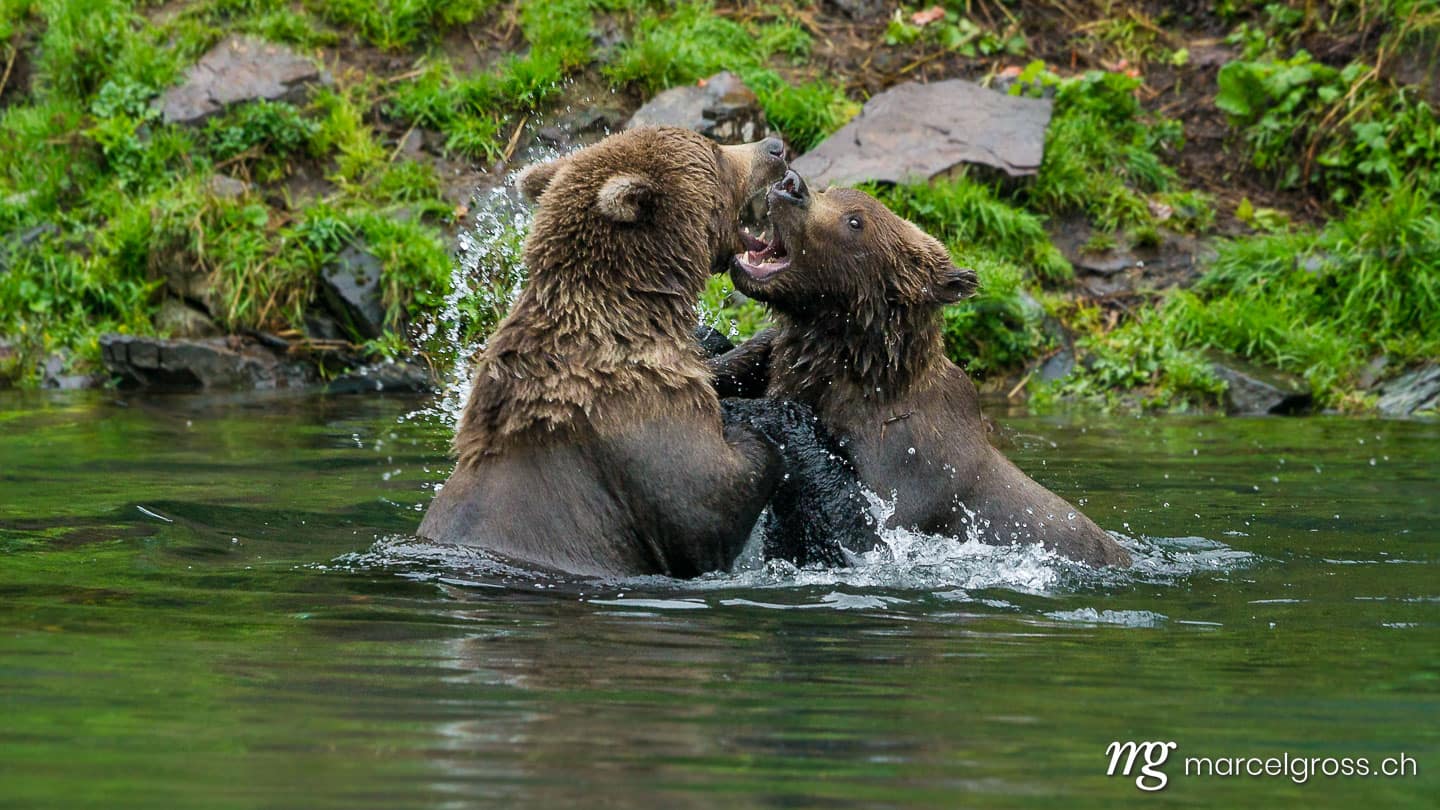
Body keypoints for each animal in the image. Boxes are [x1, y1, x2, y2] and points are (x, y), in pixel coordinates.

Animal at [417, 128, 863, 578]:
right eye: (717, 153)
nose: (774, 147)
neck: (633, 317)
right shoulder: (638, 421)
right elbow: (708, 506)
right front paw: (768, 423)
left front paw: (748, 346)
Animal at [710, 170, 1132, 567]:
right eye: (829, 190)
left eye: (855, 221)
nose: (791, 184)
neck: (858, 371)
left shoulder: (907, 468)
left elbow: (851, 533)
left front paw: (765, 414)